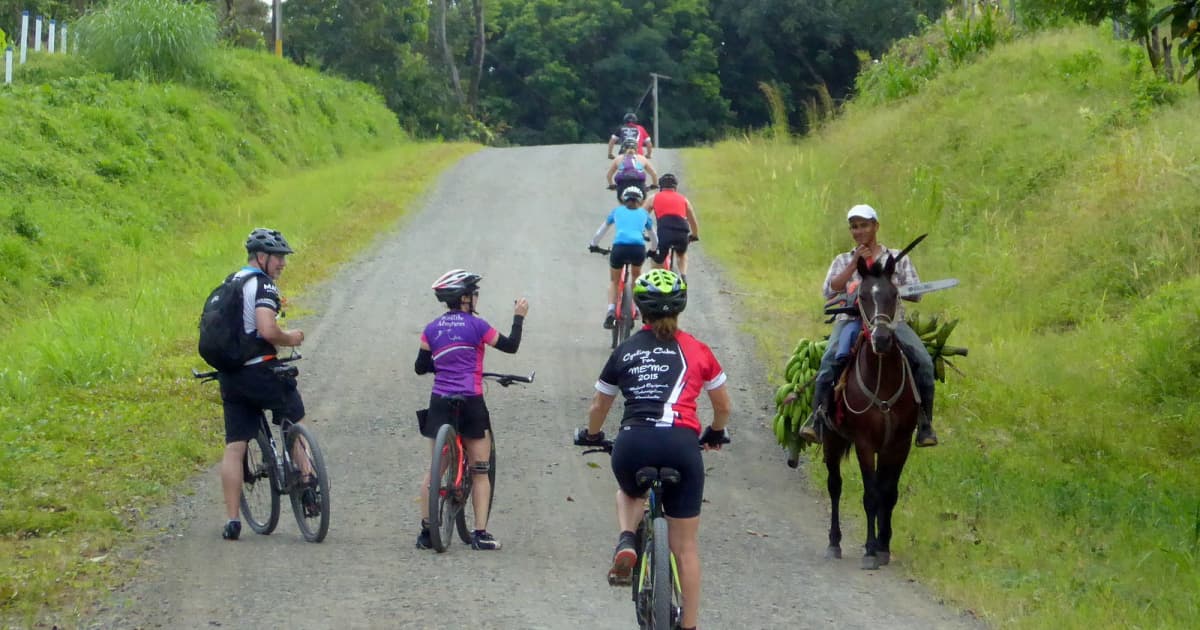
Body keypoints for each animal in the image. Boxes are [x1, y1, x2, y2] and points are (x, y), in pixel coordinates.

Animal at [825, 252, 916, 568]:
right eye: (862, 296)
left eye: (894, 295)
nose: (881, 339)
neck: (883, 383)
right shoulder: (864, 443)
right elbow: (870, 495)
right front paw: (869, 548)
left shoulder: (899, 444)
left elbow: (888, 493)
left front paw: (883, 545)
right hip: (831, 440)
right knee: (835, 485)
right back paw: (834, 543)